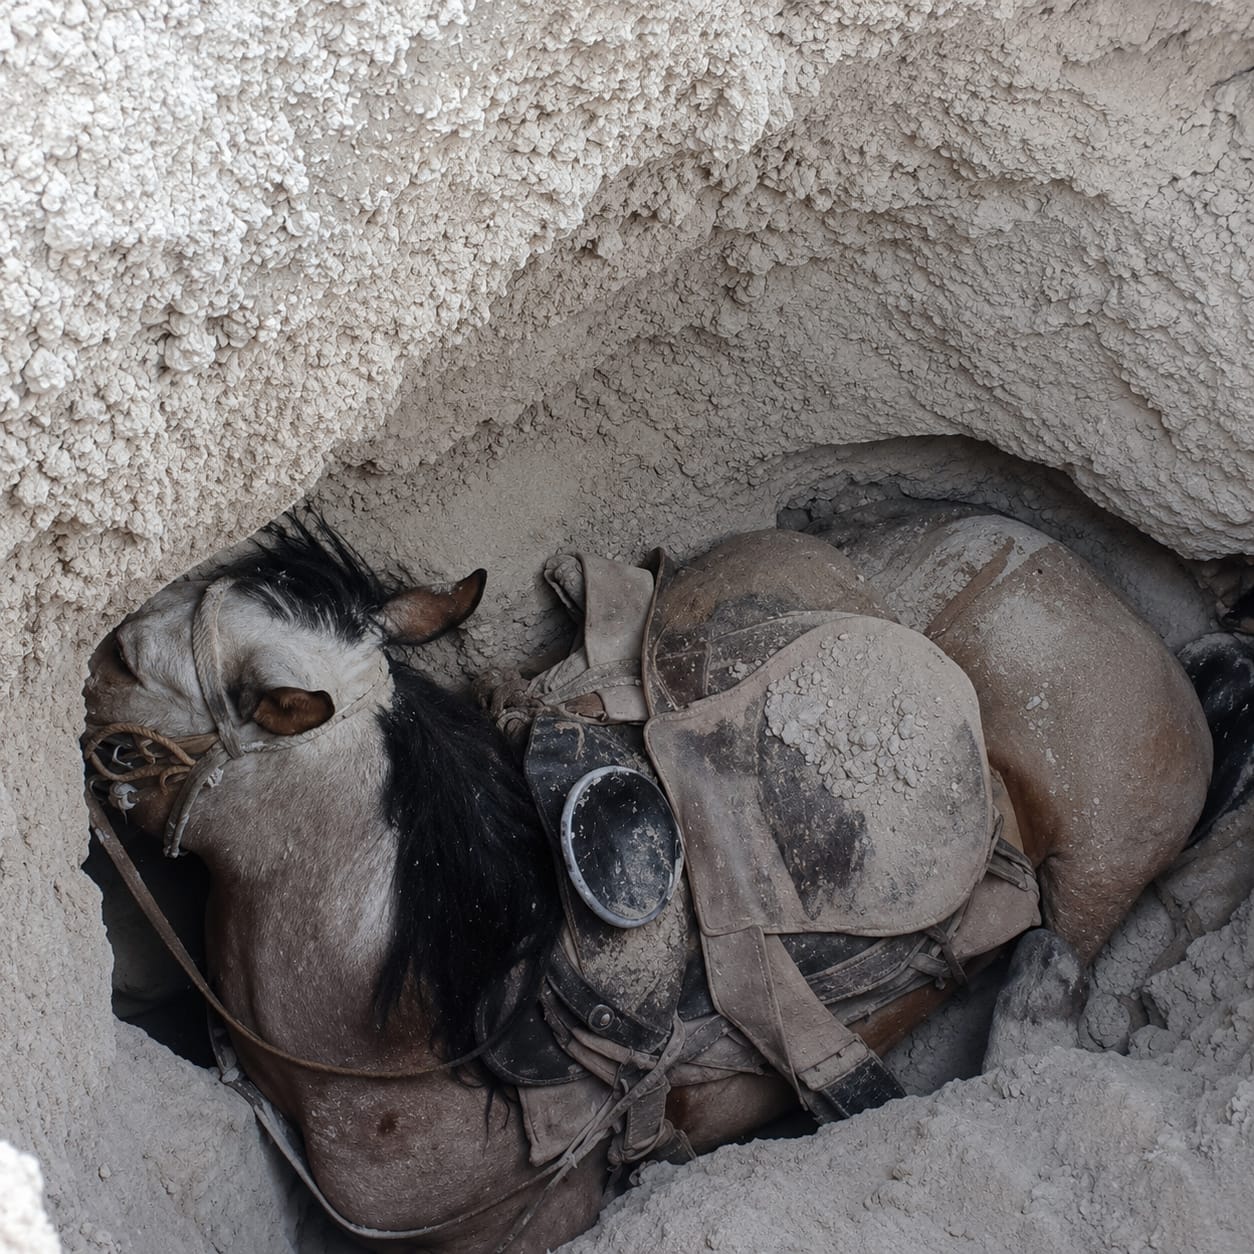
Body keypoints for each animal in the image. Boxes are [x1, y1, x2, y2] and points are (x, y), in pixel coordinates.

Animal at [81, 511, 1212, 1252]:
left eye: (141, 660)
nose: (86, 674)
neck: (424, 1036)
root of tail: (1088, 584)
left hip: (1098, 858)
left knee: (1057, 963)